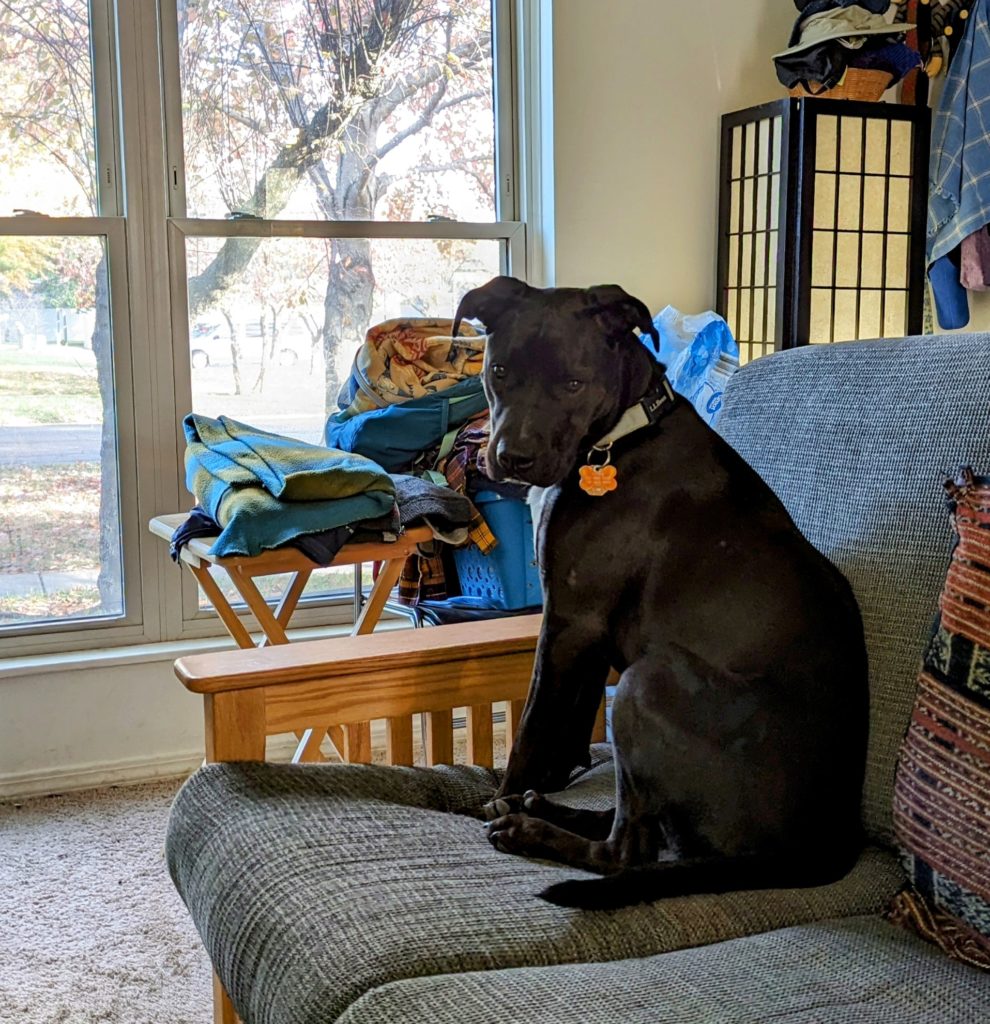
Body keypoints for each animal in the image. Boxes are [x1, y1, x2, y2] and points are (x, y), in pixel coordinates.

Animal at [450, 276, 868, 909]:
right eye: (498, 371)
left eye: (573, 383)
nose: (511, 459)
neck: (619, 437)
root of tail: (825, 847)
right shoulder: (585, 633)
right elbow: (569, 721)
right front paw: (545, 782)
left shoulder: (570, 621)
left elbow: (534, 723)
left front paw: (506, 789)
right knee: (639, 823)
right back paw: (550, 810)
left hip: (645, 683)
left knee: (628, 852)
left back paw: (530, 828)